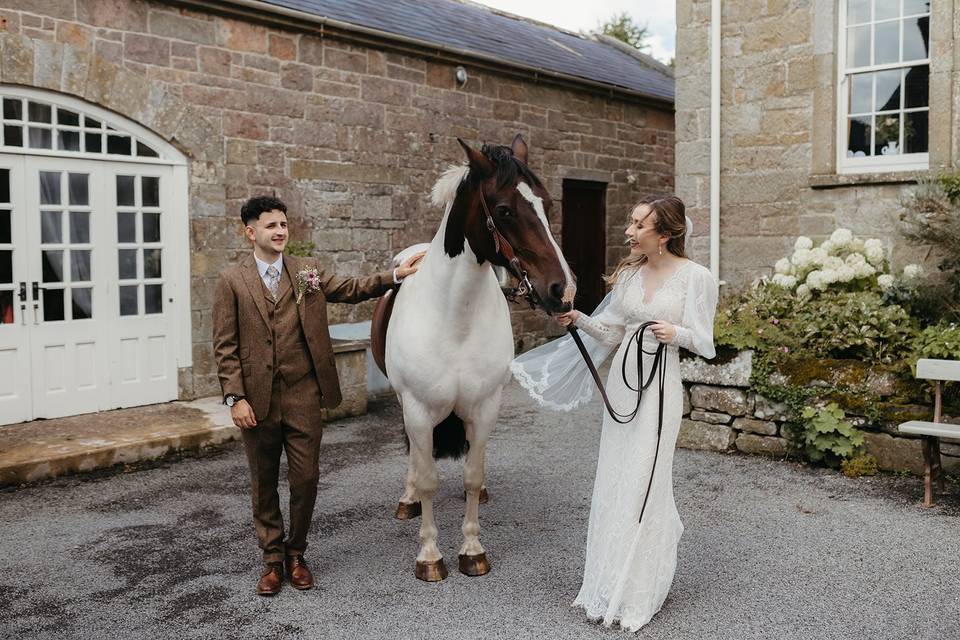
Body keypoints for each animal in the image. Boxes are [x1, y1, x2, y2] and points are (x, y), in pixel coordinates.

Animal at [378, 135, 572, 580]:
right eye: (503, 210)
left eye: (547, 204)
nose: (562, 289)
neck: (454, 319)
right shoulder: (418, 409)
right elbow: (428, 478)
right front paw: (430, 557)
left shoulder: (485, 407)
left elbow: (471, 474)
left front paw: (472, 550)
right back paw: (407, 499)